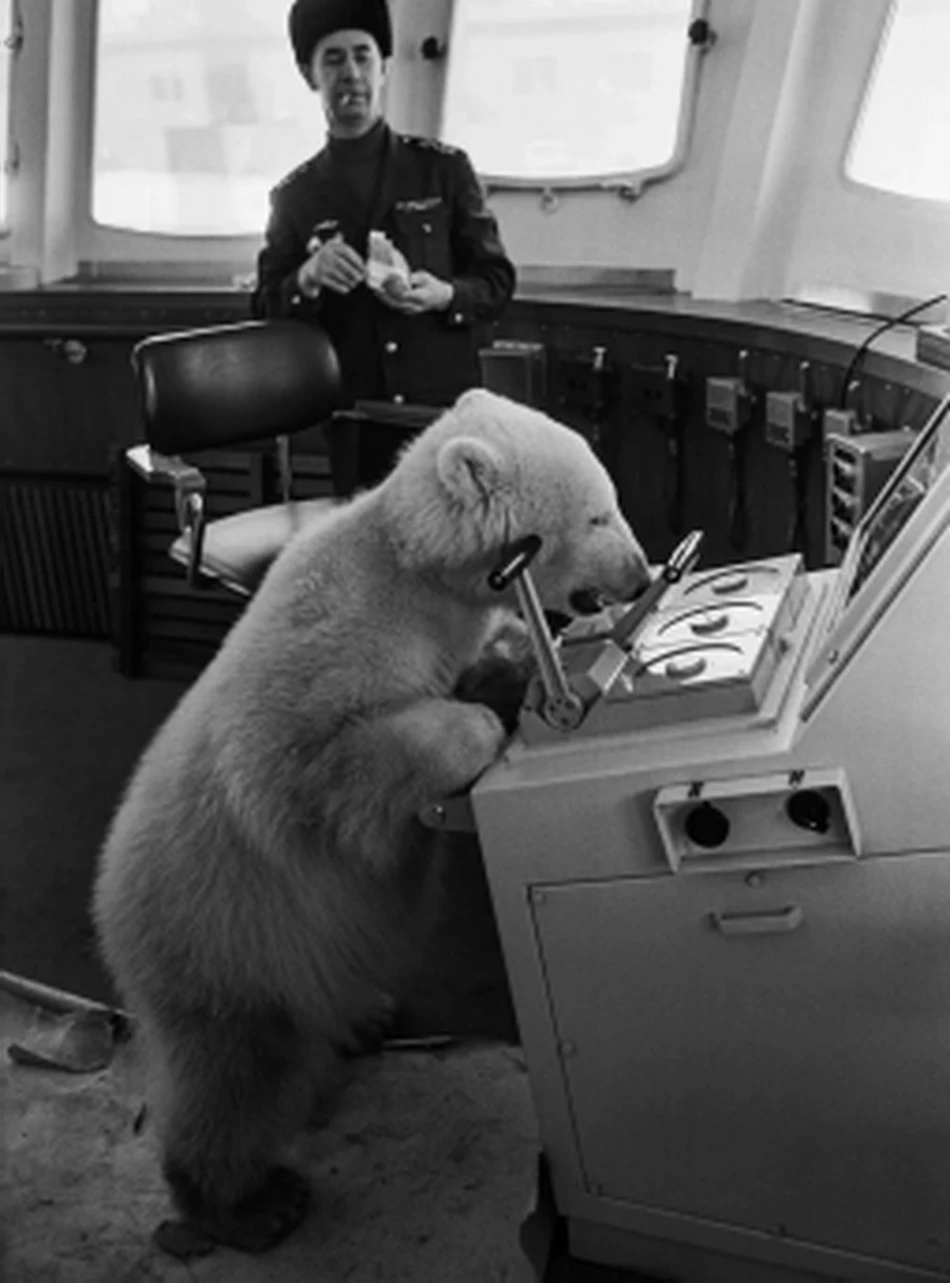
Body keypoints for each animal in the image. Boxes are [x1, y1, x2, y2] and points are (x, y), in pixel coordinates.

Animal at [92, 387, 649, 1255]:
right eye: (597, 513)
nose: (644, 571)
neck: (410, 564)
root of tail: (108, 912)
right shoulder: (332, 644)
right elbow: (314, 762)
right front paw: (475, 728)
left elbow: (493, 656)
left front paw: (521, 668)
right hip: (221, 942)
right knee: (232, 1082)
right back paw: (247, 1203)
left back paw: (366, 1018)